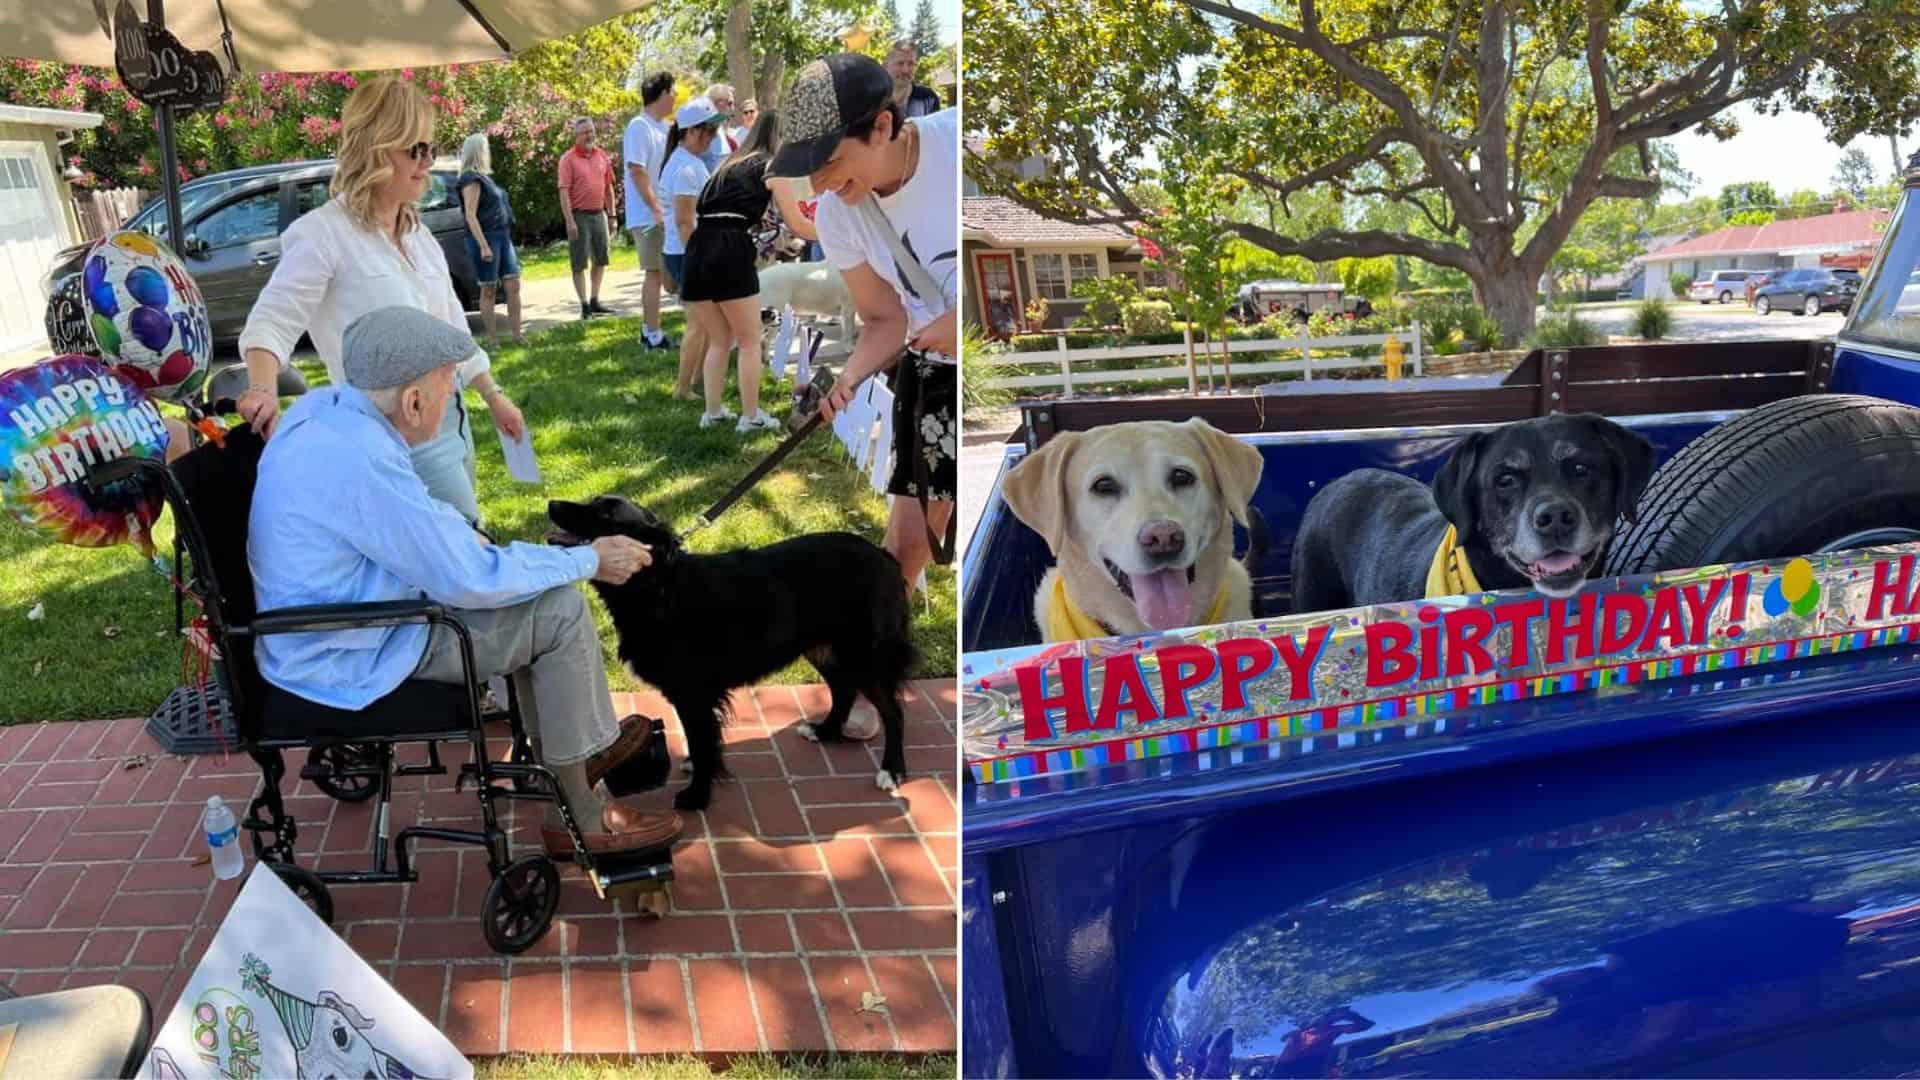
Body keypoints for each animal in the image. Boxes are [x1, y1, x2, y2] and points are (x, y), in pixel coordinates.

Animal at [545, 491, 910, 803]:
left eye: (605, 514)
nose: (551, 503)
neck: (658, 585)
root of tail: (884, 557)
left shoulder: (692, 693)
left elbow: (702, 743)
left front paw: (697, 796)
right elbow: (703, 743)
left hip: (864, 655)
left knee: (893, 712)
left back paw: (891, 770)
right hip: (823, 648)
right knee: (843, 688)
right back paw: (825, 730)